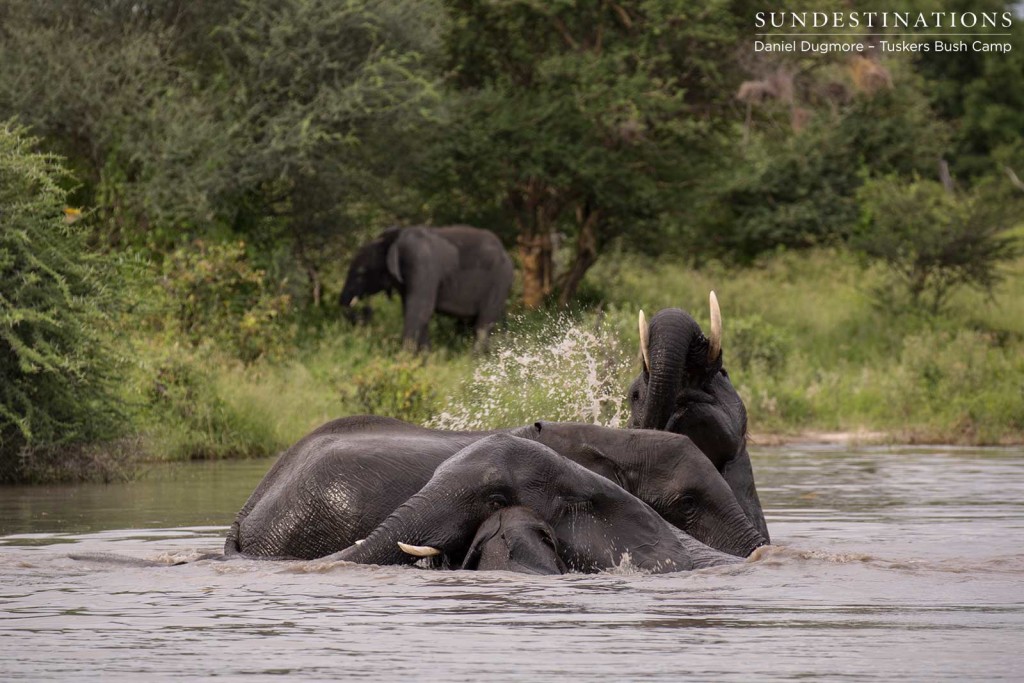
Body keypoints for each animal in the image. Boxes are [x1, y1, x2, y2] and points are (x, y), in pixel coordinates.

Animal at [337, 225, 512, 352]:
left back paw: (475, 359)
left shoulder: (420, 264)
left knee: (483, 324)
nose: (366, 310)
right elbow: (414, 311)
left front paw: (405, 358)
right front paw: (425, 358)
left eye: (361, 273)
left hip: (499, 282)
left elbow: (420, 309)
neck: (393, 240)